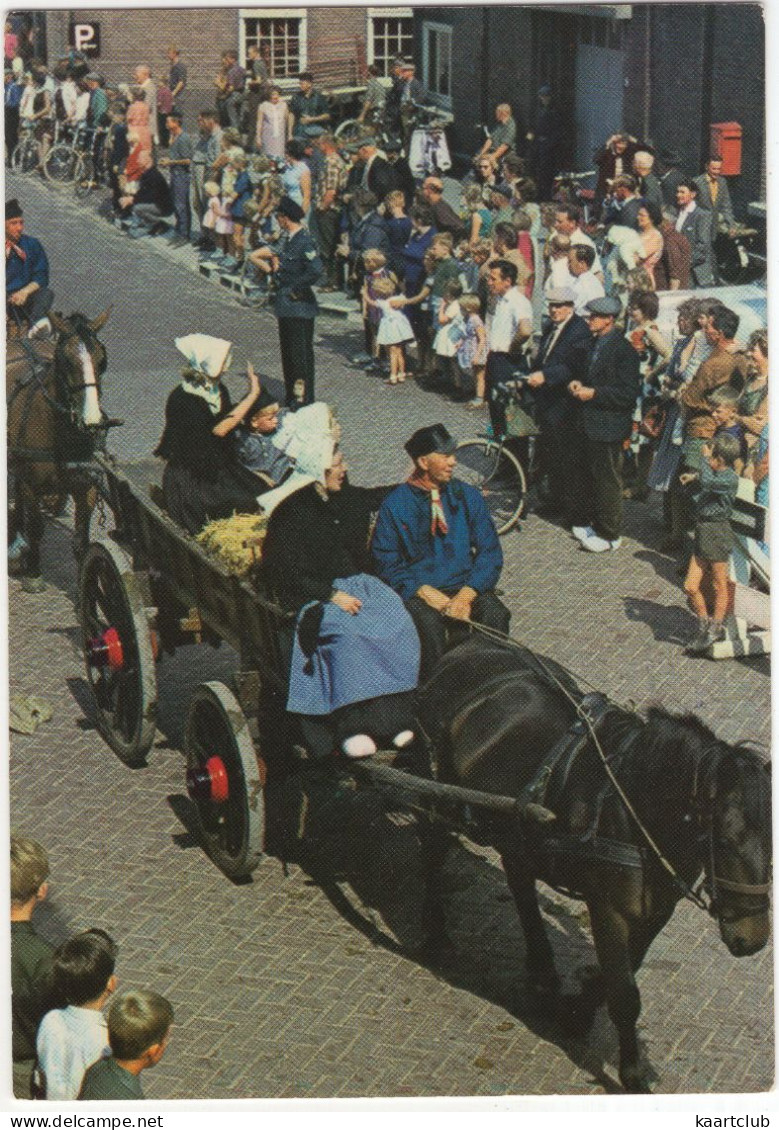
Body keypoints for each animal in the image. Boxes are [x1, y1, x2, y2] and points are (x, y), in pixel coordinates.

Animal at [7, 309, 110, 592]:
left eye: (102, 360)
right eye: (65, 360)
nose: (93, 421)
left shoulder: (87, 485)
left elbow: (81, 539)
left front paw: (88, 584)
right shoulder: (32, 483)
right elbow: (36, 527)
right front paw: (33, 573)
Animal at [416, 641, 768, 1089]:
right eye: (724, 840)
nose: (753, 940)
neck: (634, 807)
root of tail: (464, 647)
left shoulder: (657, 910)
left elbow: (623, 973)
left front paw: (578, 1010)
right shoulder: (608, 909)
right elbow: (625, 994)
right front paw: (632, 1074)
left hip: (519, 830)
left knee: (519, 881)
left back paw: (543, 974)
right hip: (438, 794)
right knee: (431, 851)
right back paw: (436, 933)